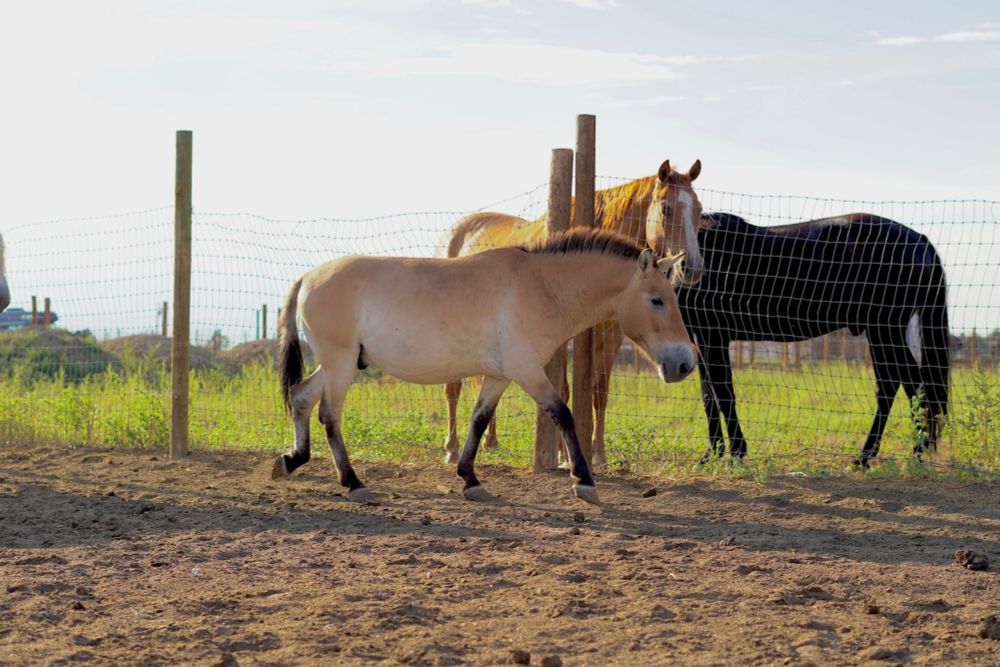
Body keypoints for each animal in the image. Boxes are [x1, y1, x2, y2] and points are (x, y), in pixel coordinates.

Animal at [272, 230, 696, 506]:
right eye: (657, 300)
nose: (685, 363)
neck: (541, 287)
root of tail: (308, 277)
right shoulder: (527, 371)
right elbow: (563, 414)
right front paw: (584, 481)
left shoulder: (499, 376)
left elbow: (479, 419)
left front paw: (470, 479)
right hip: (340, 363)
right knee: (329, 416)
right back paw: (353, 482)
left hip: (338, 364)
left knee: (301, 398)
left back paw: (292, 460)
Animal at [446, 160, 704, 464]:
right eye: (666, 208)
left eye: (699, 210)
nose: (693, 268)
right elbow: (564, 391)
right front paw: (562, 453)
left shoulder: (611, 336)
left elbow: (599, 392)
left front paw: (599, 453)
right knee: (453, 388)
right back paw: (452, 447)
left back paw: (491, 440)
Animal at [680, 211, 952, 468]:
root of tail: (920, 241)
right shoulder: (701, 337)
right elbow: (709, 397)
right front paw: (711, 455)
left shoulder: (712, 334)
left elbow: (723, 393)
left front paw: (736, 453)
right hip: (881, 333)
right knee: (895, 387)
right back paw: (876, 456)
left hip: (885, 329)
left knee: (907, 387)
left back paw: (904, 454)